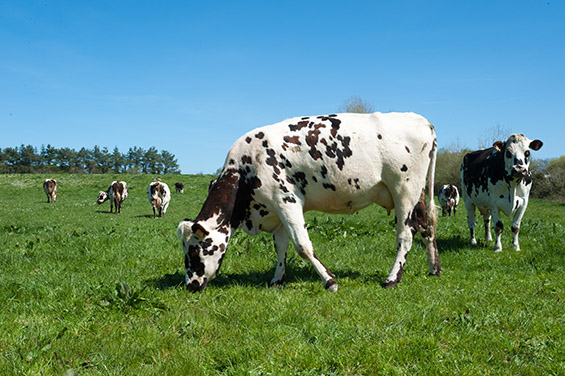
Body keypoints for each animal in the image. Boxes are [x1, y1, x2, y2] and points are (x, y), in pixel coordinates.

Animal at [175, 110, 436, 292]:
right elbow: (281, 246)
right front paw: (277, 280)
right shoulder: (276, 209)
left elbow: (302, 246)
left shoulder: (287, 200)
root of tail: (423, 121)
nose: (191, 285)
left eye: (194, 251)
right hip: (419, 194)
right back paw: (434, 269)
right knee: (427, 226)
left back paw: (392, 278)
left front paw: (329, 281)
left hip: (405, 190)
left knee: (406, 235)